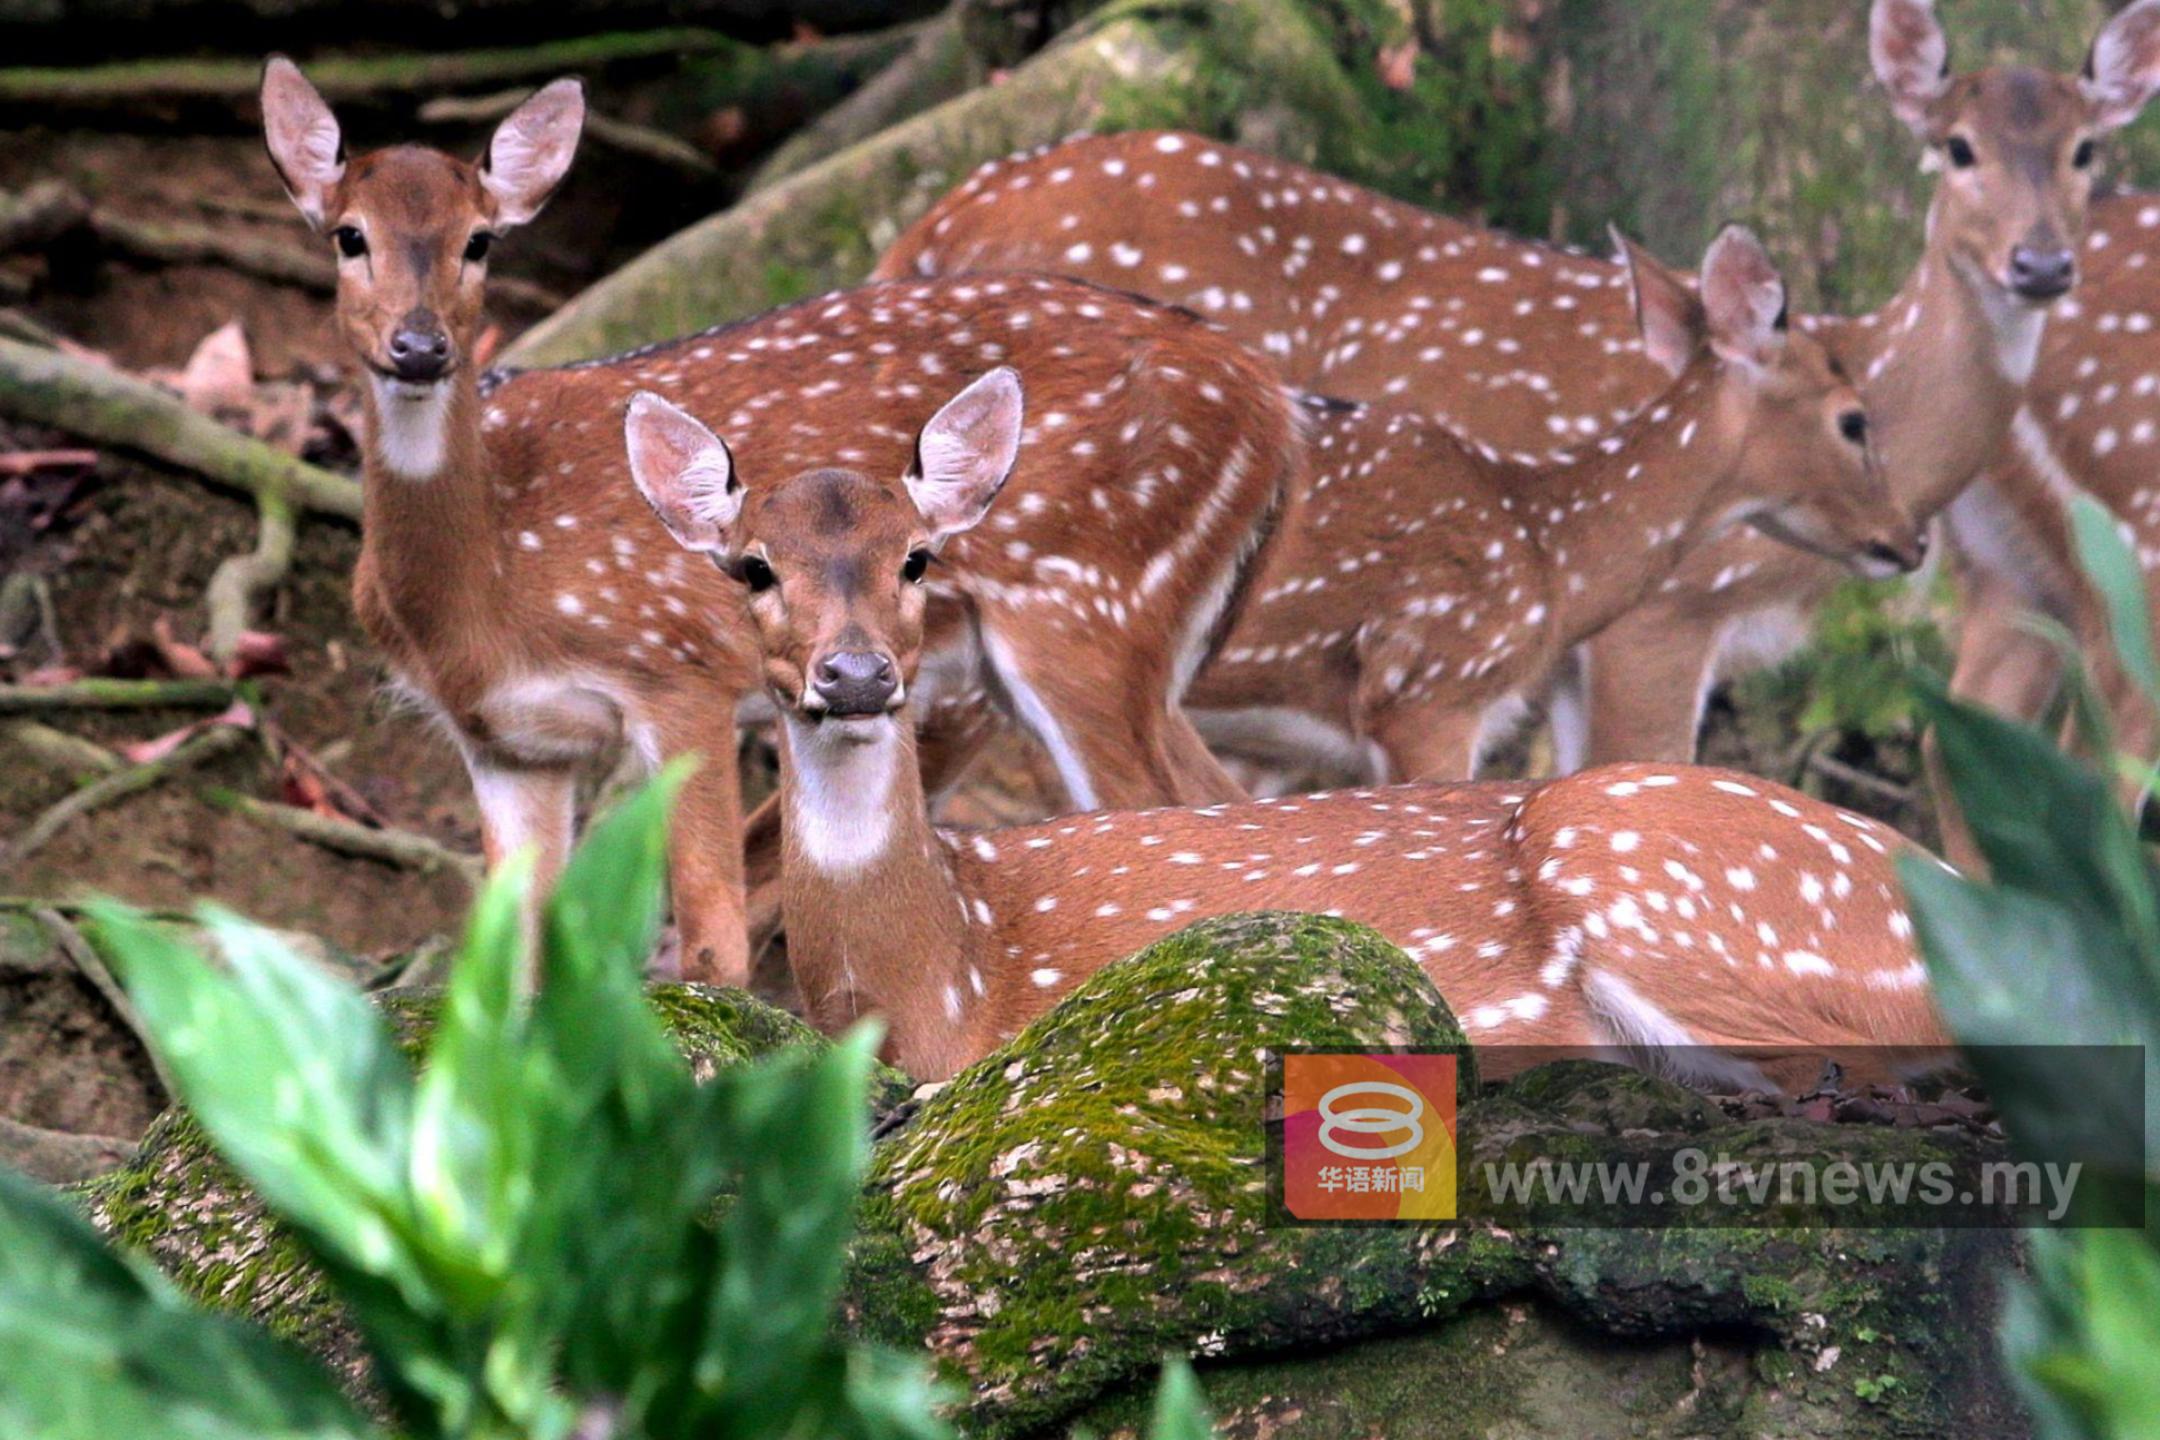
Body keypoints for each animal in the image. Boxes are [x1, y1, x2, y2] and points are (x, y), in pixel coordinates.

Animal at [252, 59, 1296, 980]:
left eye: (480, 241)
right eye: (347, 235)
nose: (420, 347)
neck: (489, 586)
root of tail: (1271, 406)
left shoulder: (676, 673)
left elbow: (708, 942)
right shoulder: (508, 745)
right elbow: (508, 970)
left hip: (1089, 616)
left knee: (1164, 810)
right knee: (1221, 800)